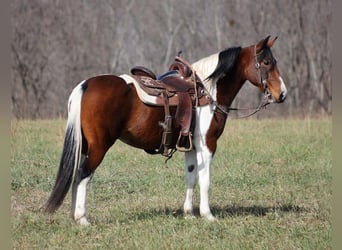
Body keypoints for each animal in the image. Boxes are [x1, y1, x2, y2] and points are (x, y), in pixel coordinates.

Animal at [44, 35, 288, 225]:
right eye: (266, 62)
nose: (282, 94)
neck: (208, 91)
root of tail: (85, 85)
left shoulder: (191, 147)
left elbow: (191, 177)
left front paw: (189, 214)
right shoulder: (208, 144)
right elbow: (205, 180)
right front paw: (208, 215)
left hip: (84, 146)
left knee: (77, 176)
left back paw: (74, 216)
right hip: (99, 147)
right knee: (84, 174)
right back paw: (82, 218)